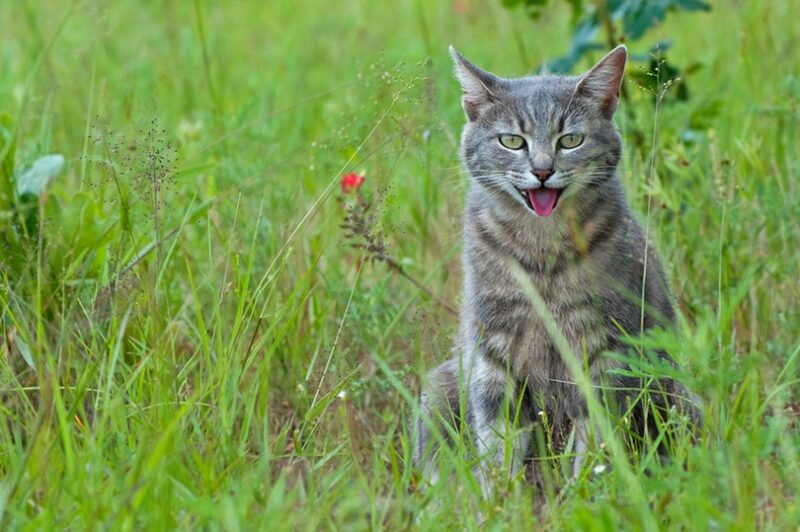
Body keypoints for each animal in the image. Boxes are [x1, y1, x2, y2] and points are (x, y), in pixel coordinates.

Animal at [416, 44, 704, 494]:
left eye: (570, 139)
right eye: (512, 141)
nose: (542, 170)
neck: (542, 253)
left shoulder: (606, 352)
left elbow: (597, 444)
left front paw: (587, 495)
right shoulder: (493, 355)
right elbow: (497, 444)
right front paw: (501, 499)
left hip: (679, 397)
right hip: (438, 390)